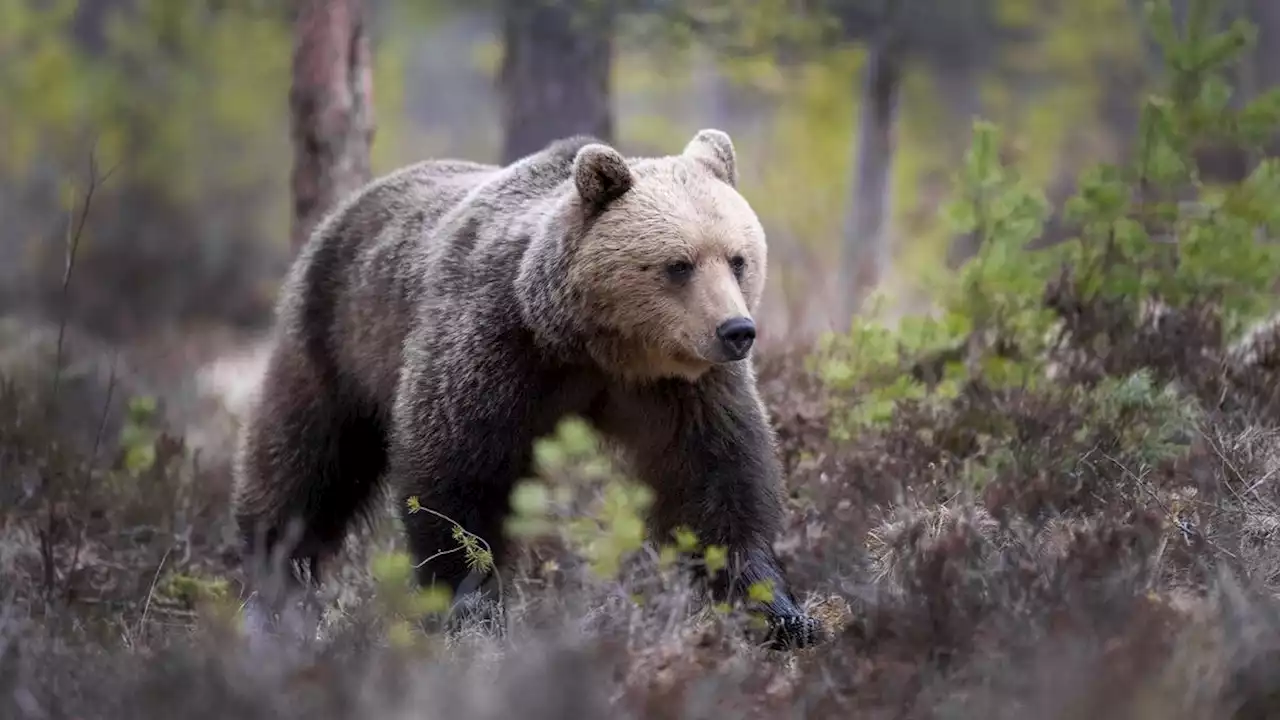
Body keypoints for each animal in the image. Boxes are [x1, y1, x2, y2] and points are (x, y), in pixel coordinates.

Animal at [232, 126, 819, 648]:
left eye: (738, 259)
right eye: (679, 265)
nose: (736, 331)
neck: (592, 344)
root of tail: (349, 205)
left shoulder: (682, 388)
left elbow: (716, 480)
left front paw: (780, 614)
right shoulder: (494, 349)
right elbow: (457, 477)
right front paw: (471, 609)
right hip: (335, 336)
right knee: (303, 462)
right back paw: (271, 583)